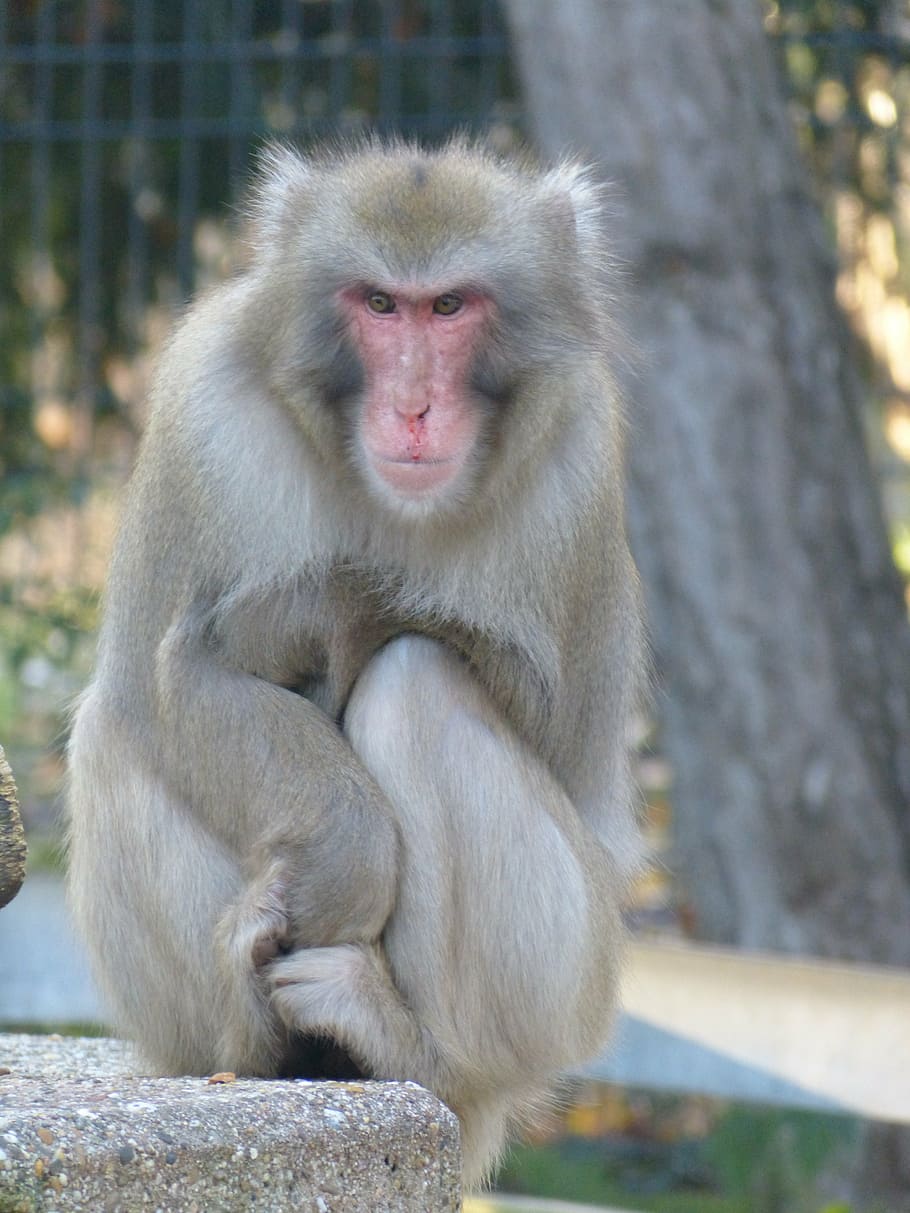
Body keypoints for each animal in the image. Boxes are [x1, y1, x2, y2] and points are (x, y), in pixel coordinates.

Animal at [66, 138, 645, 1185]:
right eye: (380, 304)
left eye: (448, 306)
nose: (414, 407)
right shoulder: (200, 415)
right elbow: (165, 682)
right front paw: (343, 856)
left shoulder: (579, 451)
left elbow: (553, 722)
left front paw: (347, 606)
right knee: (112, 727)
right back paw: (256, 1046)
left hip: (569, 987)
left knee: (418, 682)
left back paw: (408, 1045)